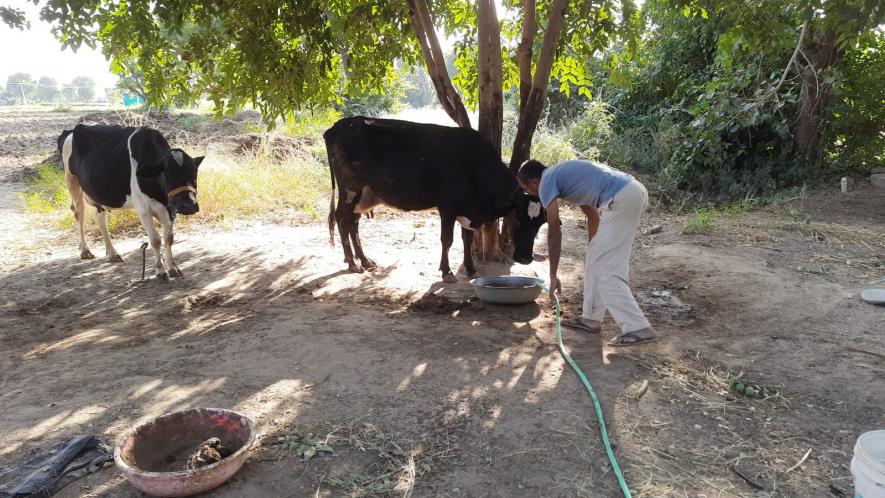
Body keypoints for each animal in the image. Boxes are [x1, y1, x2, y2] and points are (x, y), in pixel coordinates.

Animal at [58, 123, 204, 280]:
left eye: (194, 172)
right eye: (169, 173)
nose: (189, 206)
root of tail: (71, 130)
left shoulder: (171, 208)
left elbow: (169, 238)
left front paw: (172, 268)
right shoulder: (143, 209)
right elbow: (155, 240)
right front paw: (161, 271)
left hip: (98, 195)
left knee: (100, 219)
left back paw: (112, 253)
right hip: (71, 180)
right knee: (79, 212)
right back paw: (85, 250)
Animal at [324, 115, 544, 282]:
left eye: (541, 223)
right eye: (518, 218)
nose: (526, 259)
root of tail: (337, 127)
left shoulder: (467, 210)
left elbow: (467, 240)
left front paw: (471, 270)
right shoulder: (447, 207)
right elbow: (447, 240)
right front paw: (447, 272)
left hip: (364, 193)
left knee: (353, 222)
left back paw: (364, 260)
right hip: (350, 187)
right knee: (341, 218)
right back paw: (352, 262)